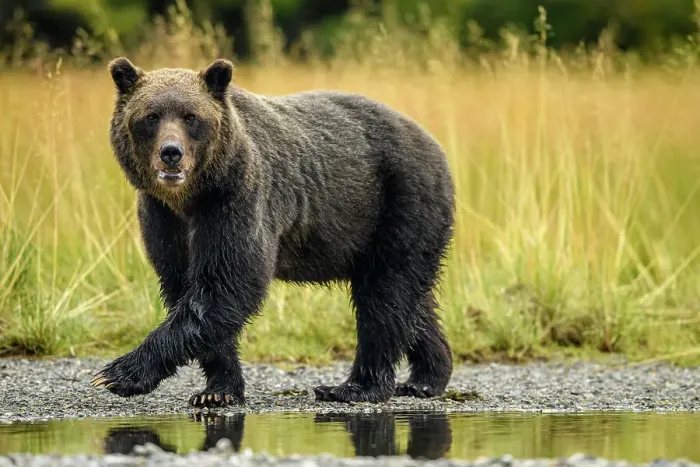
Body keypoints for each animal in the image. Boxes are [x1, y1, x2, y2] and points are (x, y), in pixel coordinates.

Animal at [91, 56, 455, 407]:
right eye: (150, 116)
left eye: (191, 117)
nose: (171, 153)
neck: (190, 198)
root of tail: (434, 144)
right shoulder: (162, 217)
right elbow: (184, 285)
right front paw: (216, 390)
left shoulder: (237, 198)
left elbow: (229, 283)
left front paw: (117, 373)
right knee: (410, 300)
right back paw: (426, 377)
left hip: (400, 202)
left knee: (385, 296)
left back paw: (354, 387)